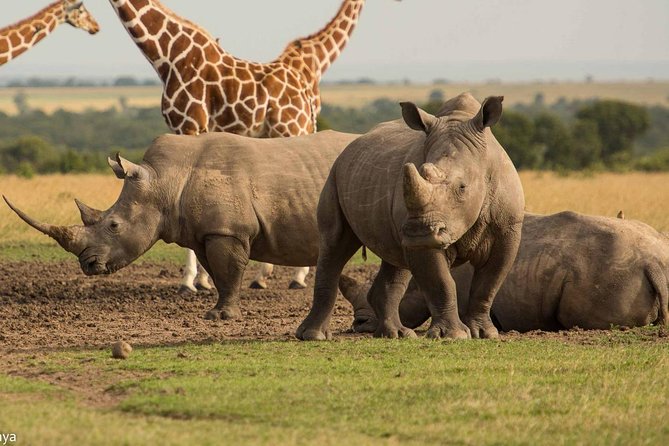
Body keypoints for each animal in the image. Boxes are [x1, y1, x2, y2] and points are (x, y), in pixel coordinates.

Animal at [5, 129, 358, 320]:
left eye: (114, 226)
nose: (88, 265)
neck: (164, 181)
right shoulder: (204, 234)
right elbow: (219, 274)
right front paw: (215, 311)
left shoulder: (227, 231)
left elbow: (229, 273)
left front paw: (221, 317)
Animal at [108, 0, 370, 294]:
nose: (91, 26)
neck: (170, 56)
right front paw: (202, 279)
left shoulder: (190, 124)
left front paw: (192, 281)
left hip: (292, 128)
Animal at [296, 92, 520, 340]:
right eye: (420, 173)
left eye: (462, 188)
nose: (419, 232)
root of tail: (353, 143)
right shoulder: (425, 239)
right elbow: (441, 283)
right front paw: (452, 336)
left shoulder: (507, 230)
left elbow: (488, 283)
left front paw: (484, 333)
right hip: (334, 174)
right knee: (335, 244)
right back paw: (314, 336)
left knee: (395, 260)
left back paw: (396, 334)